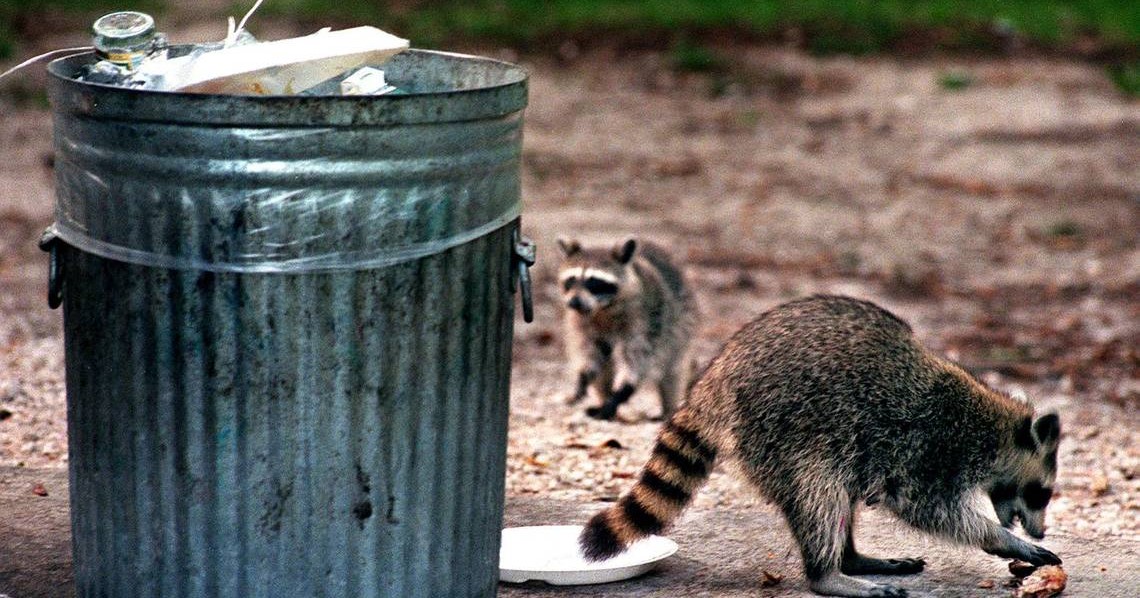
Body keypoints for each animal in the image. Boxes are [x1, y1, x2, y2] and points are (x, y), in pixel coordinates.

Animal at [556, 236, 697, 419]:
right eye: (571, 280)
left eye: (594, 282)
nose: (573, 302)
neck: (603, 309)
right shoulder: (580, 322)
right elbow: (589, 352)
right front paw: (583, 376)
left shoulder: (646, 319)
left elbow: (637, 358)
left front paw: (622, 391)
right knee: (604, 370)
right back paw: (603, 398)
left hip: (681, 326)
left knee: (672, 371)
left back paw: (668, 407)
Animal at [583, 293, 1062, 596]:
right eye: (1041, 493)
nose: (1039, 528)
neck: (994, 430)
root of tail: (719, 371)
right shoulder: (932, 446)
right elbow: (930, 509)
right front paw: (1001, 538)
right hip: (781, 430)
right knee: (820, 493)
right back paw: (827, 574)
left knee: (838, 493)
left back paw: (850, 558)